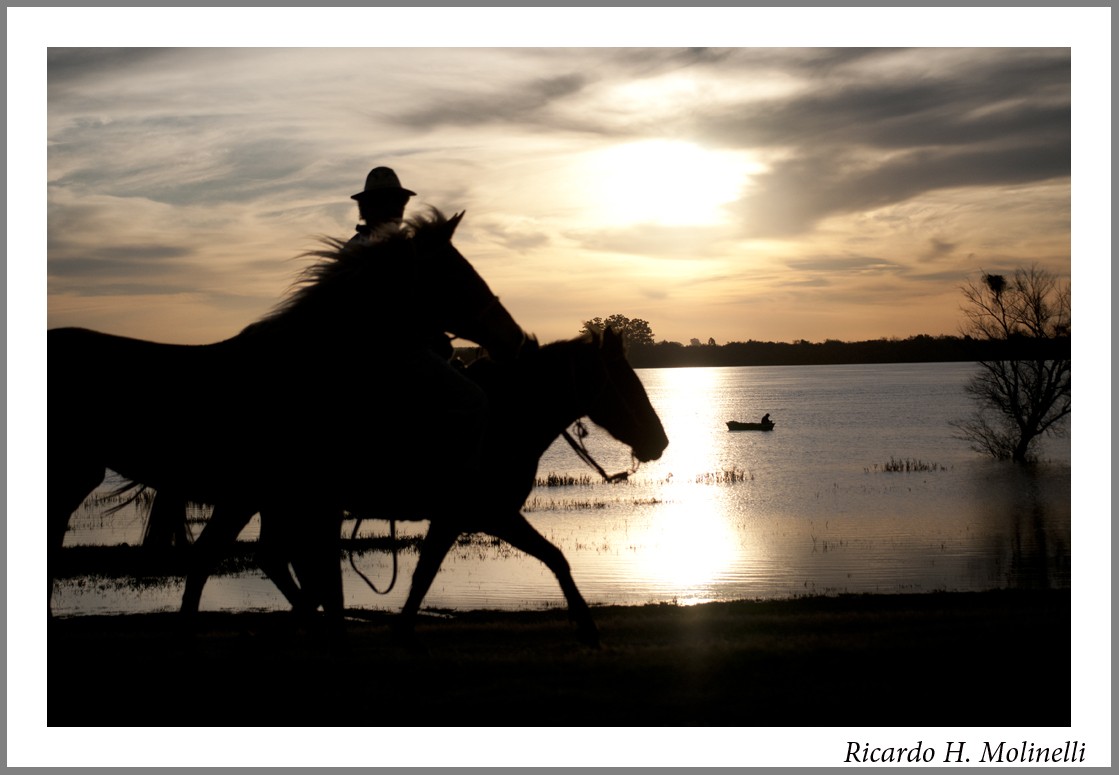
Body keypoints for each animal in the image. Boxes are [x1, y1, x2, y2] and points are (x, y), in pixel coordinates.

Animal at [45, 209, 525, 608]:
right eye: (461, 275)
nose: (514, 336)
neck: (304, 368)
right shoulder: (306, 502)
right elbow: (321, 589)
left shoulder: (271, 499)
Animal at [175, 328, 662, 648]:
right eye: (625, 383)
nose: (661, 441)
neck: (501, 419)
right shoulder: (488, 514)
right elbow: (553, 558)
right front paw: (589, 630)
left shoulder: (463, 518)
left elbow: (426, 574)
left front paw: (402, 630)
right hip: (252, 500)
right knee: (222, 556)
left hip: (270, 502)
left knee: (267, 557)